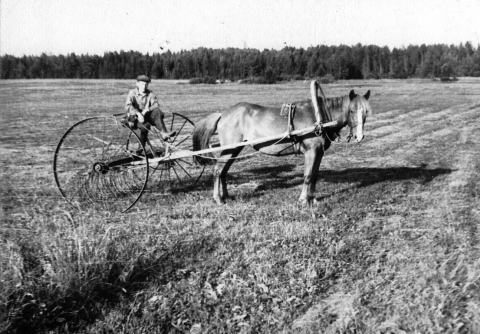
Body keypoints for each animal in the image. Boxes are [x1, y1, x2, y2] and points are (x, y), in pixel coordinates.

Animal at [191, 88, 372, 204]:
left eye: (365, 112)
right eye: (351, 111)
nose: (359, 136)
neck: (319, 116)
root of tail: (223, 114)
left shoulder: (319, 153)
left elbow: (314, 176)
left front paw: (313, 199)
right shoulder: (311, 152)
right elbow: (307, 176)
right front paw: (303, 200)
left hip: (235, 149)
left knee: (223, 172)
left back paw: (226, 196)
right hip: (229, 149)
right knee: (217, 171)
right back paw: (218, 199)